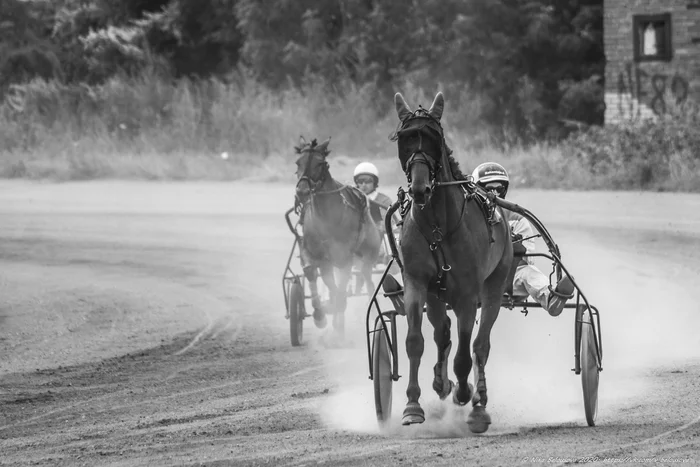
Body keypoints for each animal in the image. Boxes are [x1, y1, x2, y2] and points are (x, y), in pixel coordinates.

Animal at [296, 137, 382, 334]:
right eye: (298, 162)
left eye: (320, 163)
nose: (302, 191)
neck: (326, 215)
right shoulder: (316, 254)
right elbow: (314, 274)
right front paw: (321, 314)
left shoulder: (344, 257)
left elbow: (341, 290)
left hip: (369, 253)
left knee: (367, 278)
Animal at [392, 93, 512, 434]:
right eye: (405, 138)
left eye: (434, 138)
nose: (420, 188)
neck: (438, 228)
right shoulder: (417, 283)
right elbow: (415, 341)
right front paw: (412, 405)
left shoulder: (468, 294)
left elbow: (464, 354)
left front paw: (465, 394)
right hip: (436, 295)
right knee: (442, 331)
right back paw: (441, 382)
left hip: (494, 285)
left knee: (480, 345)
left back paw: (478, 402)